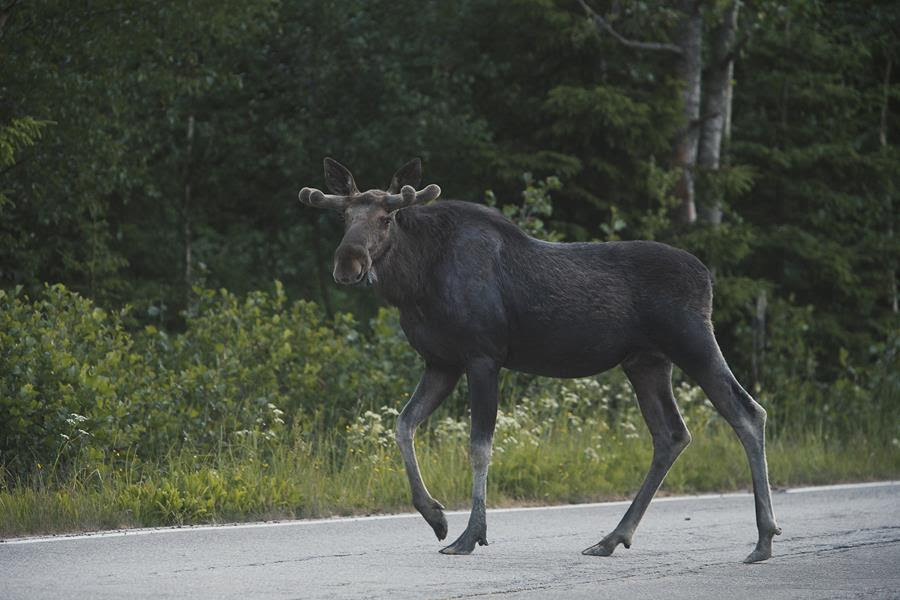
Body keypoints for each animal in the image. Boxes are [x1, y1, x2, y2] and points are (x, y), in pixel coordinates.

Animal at [298, 157, 780, 560]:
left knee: (747, 412)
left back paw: (763, 539)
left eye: (386, 217)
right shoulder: (441, 362)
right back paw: (612, 538)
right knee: (672, 434)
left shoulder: (482, 355)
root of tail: (708, 278)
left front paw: (470, 535)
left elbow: (479, 447)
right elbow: (402, 425)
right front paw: (435, 516)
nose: (348, 263)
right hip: (645, 361)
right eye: (344, 217)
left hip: (692, 341)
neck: (415, 284)